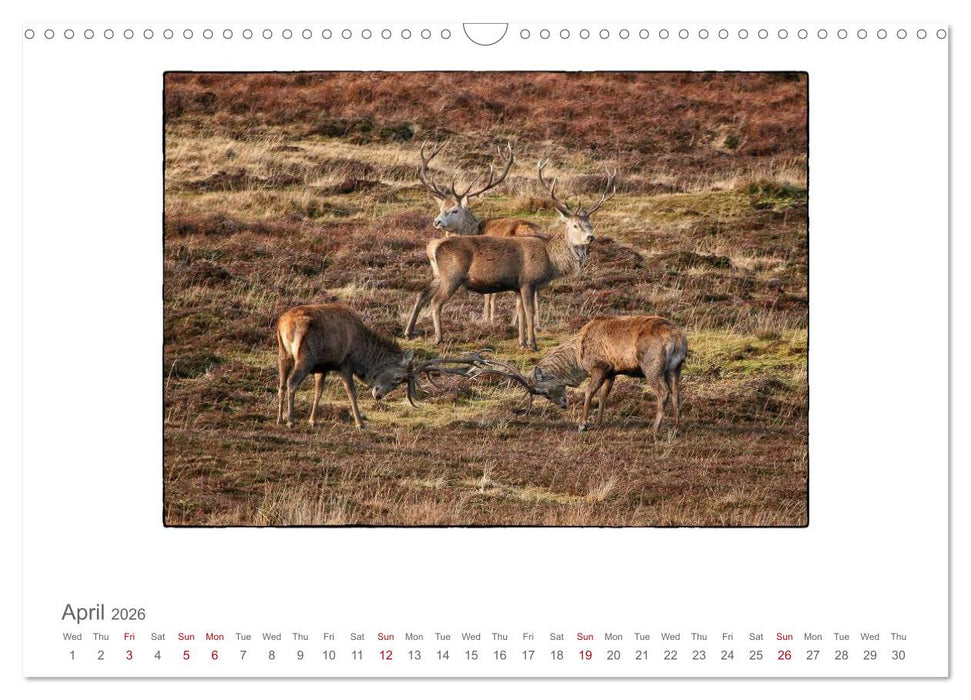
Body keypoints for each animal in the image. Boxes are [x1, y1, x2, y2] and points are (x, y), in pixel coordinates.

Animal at [276, 303, 482, 430]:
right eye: (398, 378)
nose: (379, 395)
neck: (363, 352)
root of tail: (282, 324)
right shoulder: (345, 363)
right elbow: (351, 393)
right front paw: (360, 423)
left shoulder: (324, 366)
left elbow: (319, 391)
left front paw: (313, 420)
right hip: (305, 356)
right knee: (292, 383)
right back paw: (291, 421)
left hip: (284, 354)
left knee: (282, 384)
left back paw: (280, 418)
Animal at [405, 161, 617, 351]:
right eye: (574, 225)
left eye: (590, 224)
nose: (590, 237)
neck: (551, 261)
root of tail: (433, 247)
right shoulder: (528, 281)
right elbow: (529, 313)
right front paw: (533, 344)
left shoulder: (517, 286)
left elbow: (521, 312)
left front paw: (522, 342)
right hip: (452, 276)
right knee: (436, 302)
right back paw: (438, 338)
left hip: (438, 275)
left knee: (422, 294)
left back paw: (409, 332)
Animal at [468, 315, 687, 435]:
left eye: (543, 392)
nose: (563, 405)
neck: (579, 358)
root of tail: (677, 339)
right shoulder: (612, 370)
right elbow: (604, 395)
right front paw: (598, 423)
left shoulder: (600, 365)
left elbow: (589, 392)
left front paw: (583, 424)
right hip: (676, 367)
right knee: (677, 394)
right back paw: (676, 428)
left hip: (652, 365)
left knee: (663, 392)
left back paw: (655, 428)